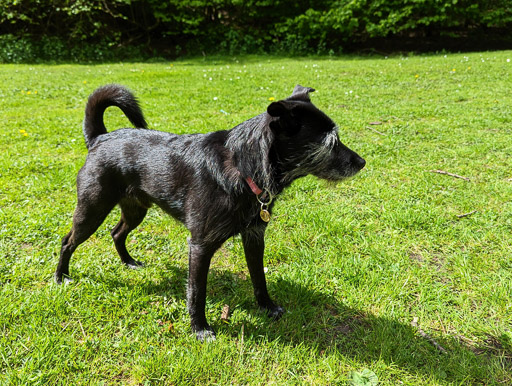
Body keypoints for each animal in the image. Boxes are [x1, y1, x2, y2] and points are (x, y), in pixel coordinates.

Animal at [56, 83, 366, 340]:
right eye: (330, 143)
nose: (362, 162)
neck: (244, 167)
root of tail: (100, 138)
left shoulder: (254, 237)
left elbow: (259, 277)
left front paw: (267, 307)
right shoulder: (200, 245)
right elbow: (197, 291)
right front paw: (200, 329)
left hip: (135, 210)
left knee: (117, 232)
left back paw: (129, 262)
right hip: (92, 209)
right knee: (67, 241)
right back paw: (61, 277)